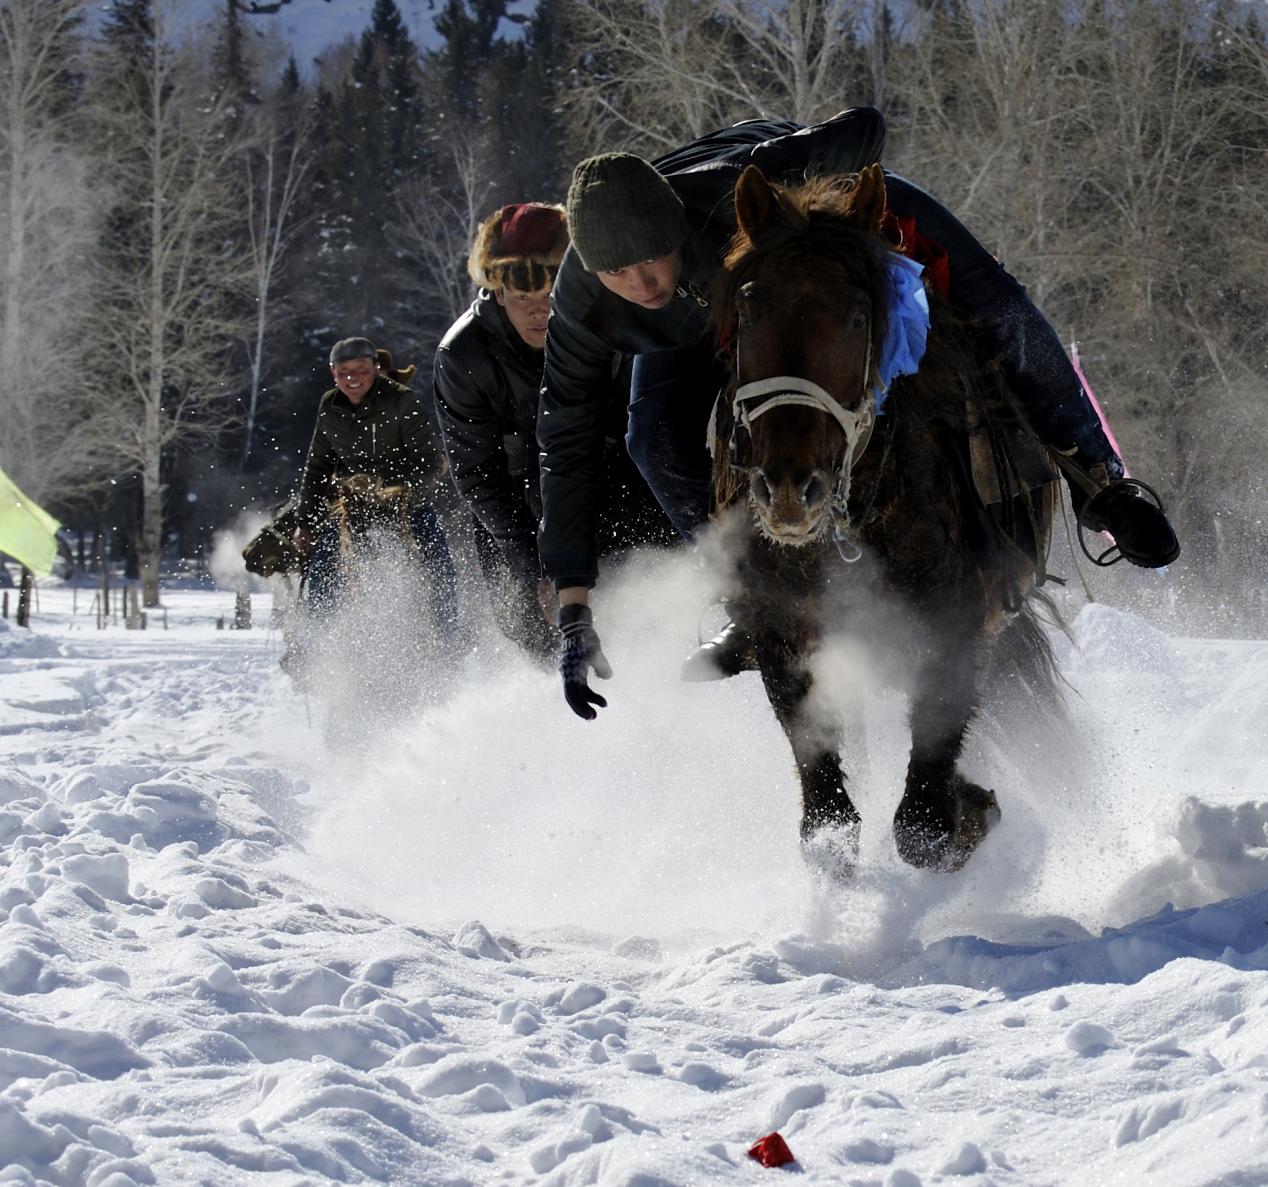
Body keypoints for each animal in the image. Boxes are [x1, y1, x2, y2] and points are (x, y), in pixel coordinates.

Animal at [715, 162, 1060, 877]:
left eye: (855, 317)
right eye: (748, 309)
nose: (788, 490)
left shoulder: (955, 620)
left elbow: (923, 822)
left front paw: (970, 810)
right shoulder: (782, 628)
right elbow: (826, 817)